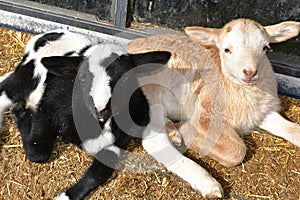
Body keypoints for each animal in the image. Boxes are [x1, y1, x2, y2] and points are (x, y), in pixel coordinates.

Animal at [124, 19, 300, 198]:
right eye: (227, 50)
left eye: (265, 48)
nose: (250, 72)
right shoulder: (206, 112)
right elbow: (237, 151)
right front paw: (188, 132)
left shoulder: (259, 111)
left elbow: (292, 129)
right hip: (151, 94)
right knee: (153, 141)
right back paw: (208, 183)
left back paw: (173, 133)